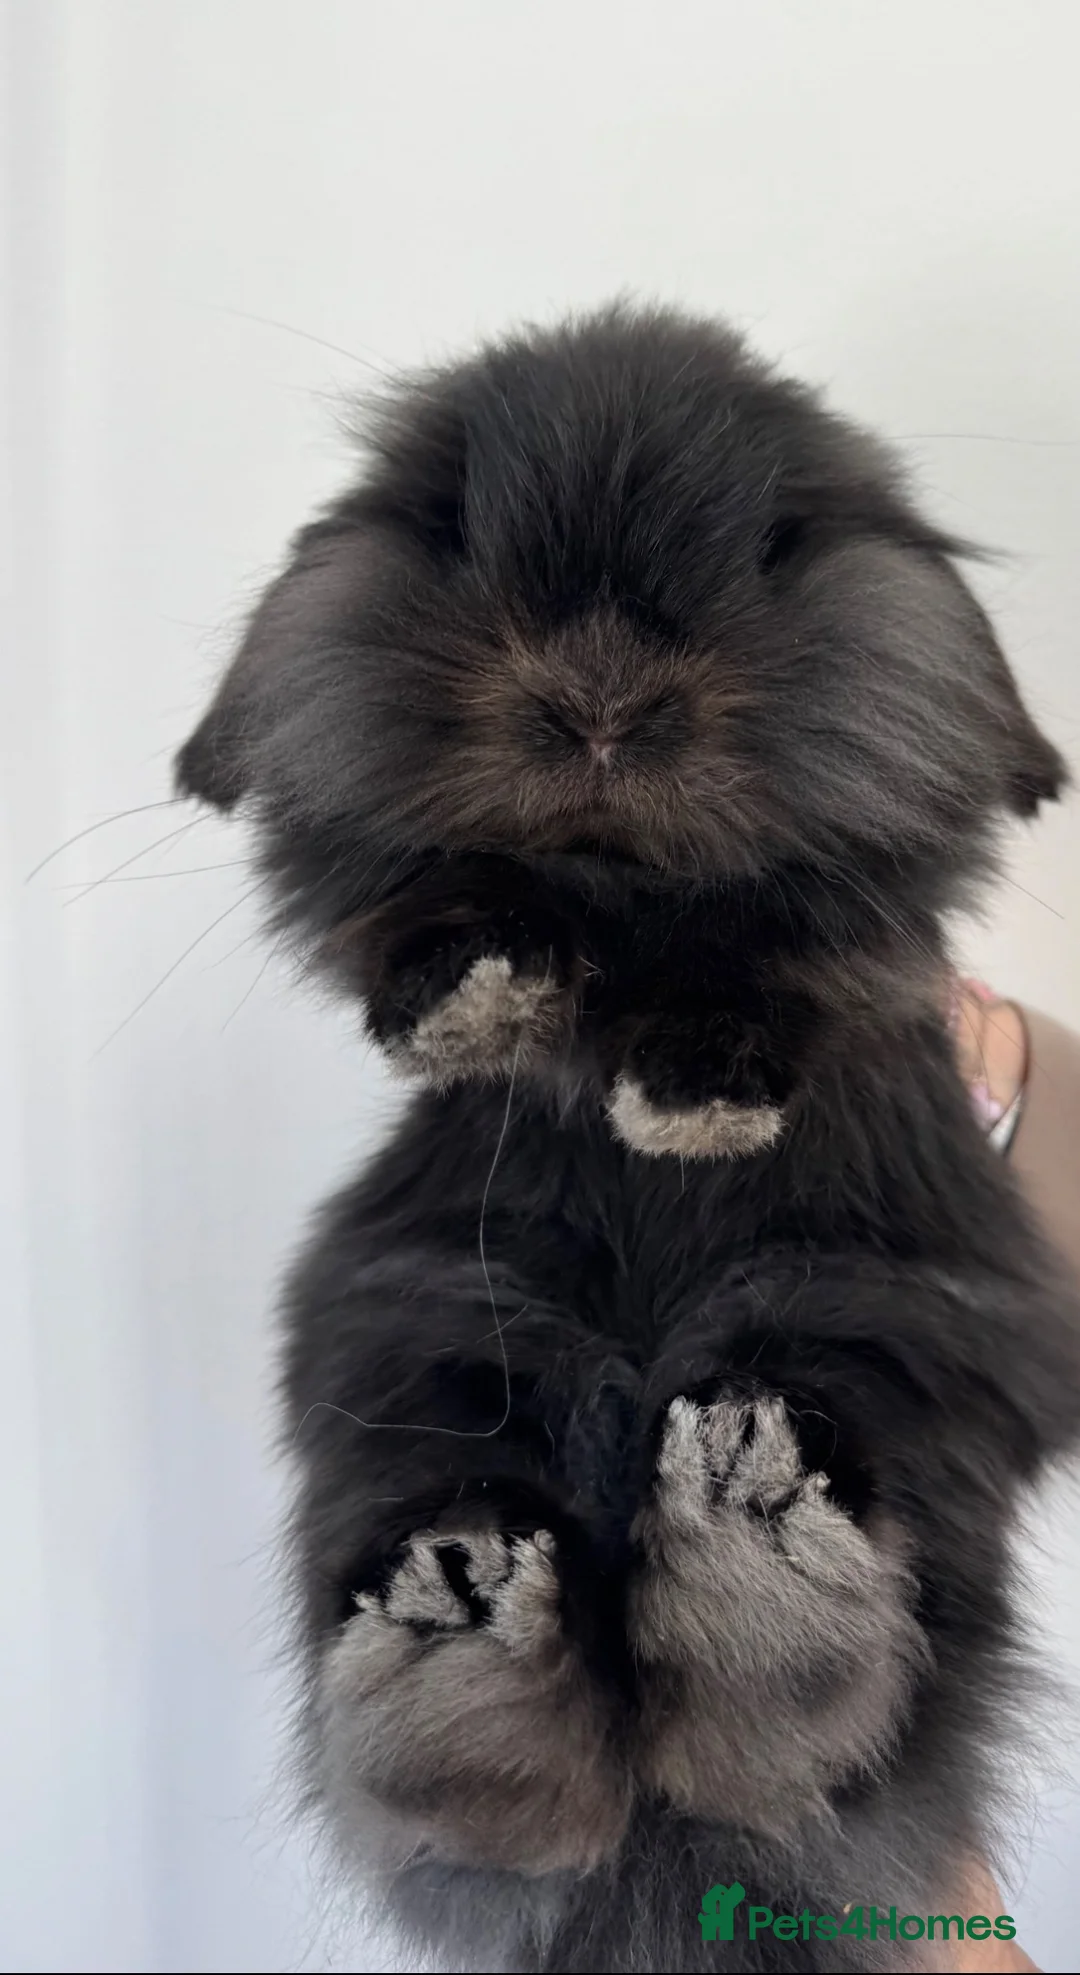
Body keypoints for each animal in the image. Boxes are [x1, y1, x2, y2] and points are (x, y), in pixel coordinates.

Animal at [177, 305, 1080, 1971]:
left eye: (777, 541)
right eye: (451, 525)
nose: (597, 699)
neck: (615, 895)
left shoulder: (843, 940)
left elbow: (785, 932)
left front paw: (694, 1095)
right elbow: (420, 902)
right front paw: (480, 995)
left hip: (885, 1334)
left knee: (815, 1706)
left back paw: (753, 1544)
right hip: (419, 1355)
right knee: (511, 1741)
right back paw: (461, 1622)